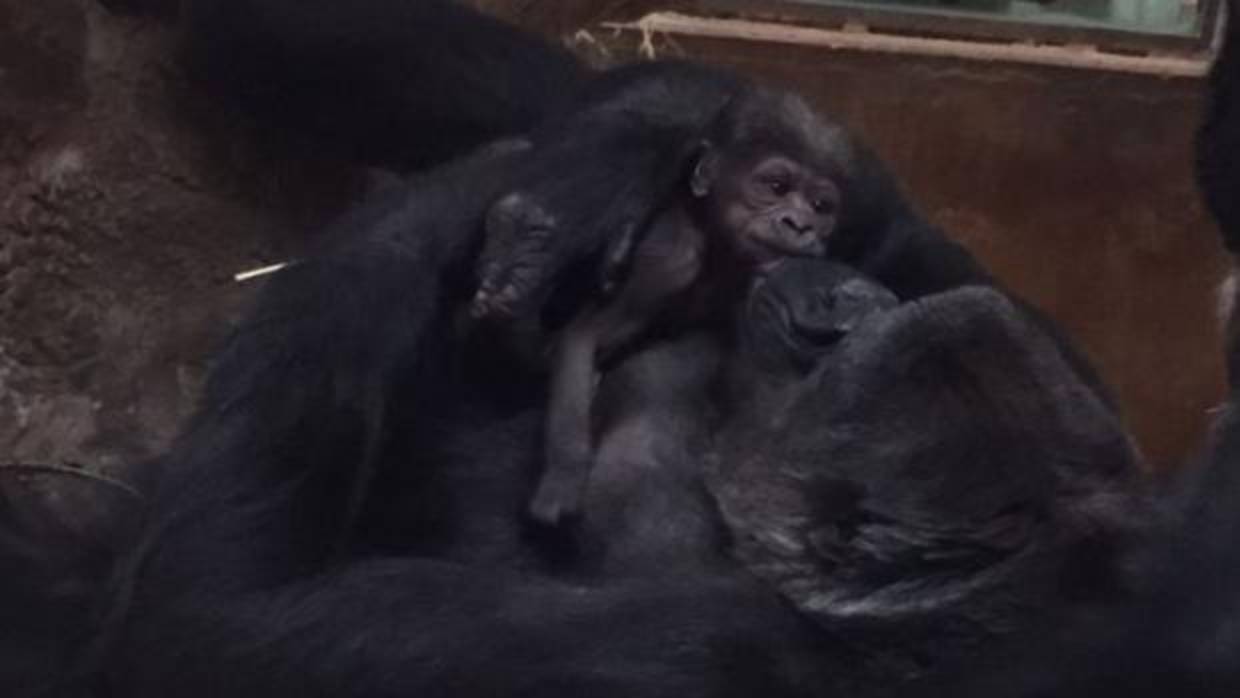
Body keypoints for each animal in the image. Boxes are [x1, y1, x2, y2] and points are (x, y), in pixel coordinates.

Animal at [493, 89, 853, 525]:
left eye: (820, 205)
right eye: (776, 185)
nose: (799, 224)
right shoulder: (666, 258)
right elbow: (583, 335)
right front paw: (564, 474)